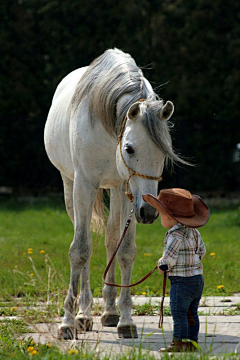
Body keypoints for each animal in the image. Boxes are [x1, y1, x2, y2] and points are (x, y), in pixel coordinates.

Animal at [44, 47, 185, 338]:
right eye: (129, 148)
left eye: (164, 153)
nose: (150, 212)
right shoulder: (84, 184)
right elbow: (80, 249)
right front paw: (67, 322)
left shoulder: (128, 191)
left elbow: (125, 251)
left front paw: (126, 320)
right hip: (70, 186)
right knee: (85, 239)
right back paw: (83, 314)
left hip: (118, 193)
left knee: (111, 239)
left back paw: (109, 311)